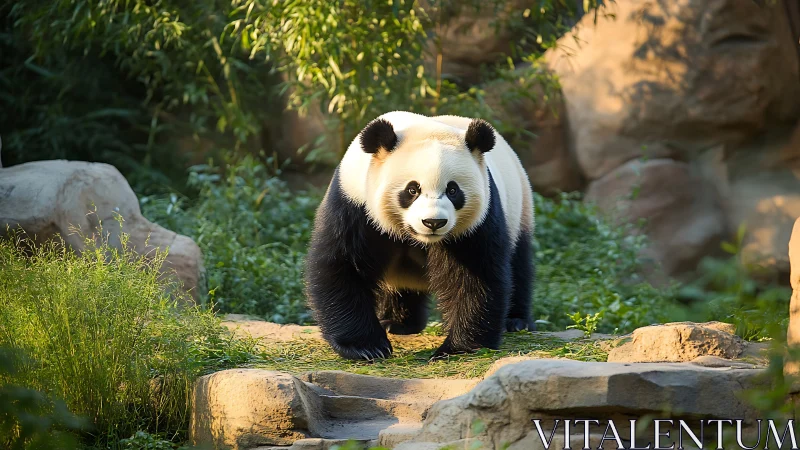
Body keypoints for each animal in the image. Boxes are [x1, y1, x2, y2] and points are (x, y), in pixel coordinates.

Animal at [305, 111, 535, 361]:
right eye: (412, 189)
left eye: (453, 190)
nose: (434, 222)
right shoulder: (354, 202)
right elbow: (342, 265)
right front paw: (367, 347)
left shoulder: (478, 220)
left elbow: (475, 276)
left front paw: (458, 348)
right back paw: (397, 322)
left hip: (520, 209)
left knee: (519, 263)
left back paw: (516, 321)